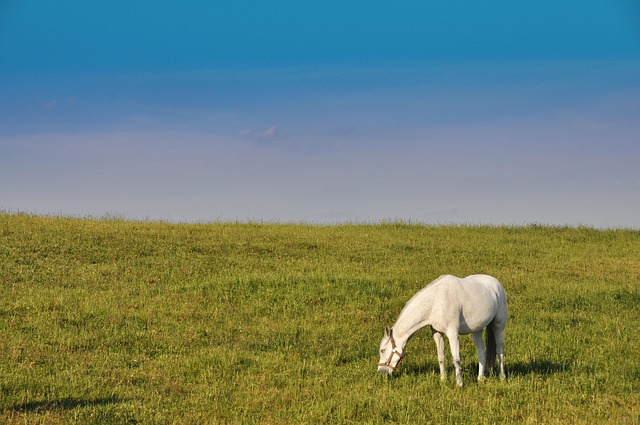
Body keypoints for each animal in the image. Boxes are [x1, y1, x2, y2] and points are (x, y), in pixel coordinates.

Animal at [377, 274, 508, 387]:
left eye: (382, 350)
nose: (381, 372)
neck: (436, 301)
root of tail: (496, 284)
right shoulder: (437, 334)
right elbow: (441, 358)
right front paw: (443, 380)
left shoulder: (453, 334)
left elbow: (456, 360)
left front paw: (459, 384)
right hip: (477, 331)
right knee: (481, 353)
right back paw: (480, 379)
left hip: (498, 326)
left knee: (500, 351)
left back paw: (502, 377)